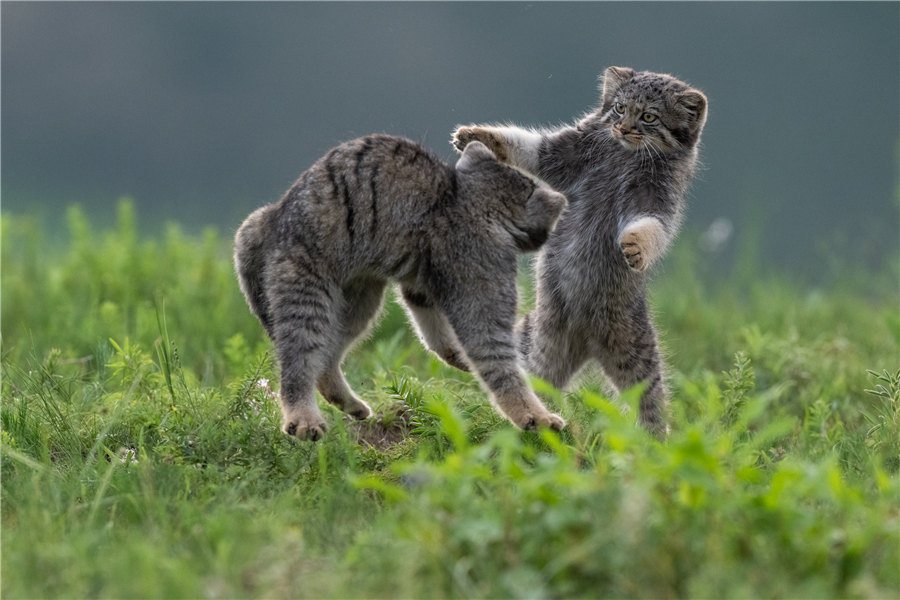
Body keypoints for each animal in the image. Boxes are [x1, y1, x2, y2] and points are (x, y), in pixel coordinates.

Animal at [236, 135, 568, 440]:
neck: (464, 197)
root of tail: (271, 216)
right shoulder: (479, 265)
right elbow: (491, 348)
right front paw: (530, 412)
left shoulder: (420, 280)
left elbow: (430, 323)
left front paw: (452, 351)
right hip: (305, 283)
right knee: (299, 355)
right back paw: (302, 413)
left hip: (358, 293)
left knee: (329, 350)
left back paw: (339, 391)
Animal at [454, 67, 708, 436]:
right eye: (619, 108)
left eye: (649, 117)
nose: (623, 128)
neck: (624, 154)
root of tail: (585, 343)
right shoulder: (564, 153)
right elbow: (525, 146)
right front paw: (476, 135)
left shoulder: (657, 201)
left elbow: (650, 229)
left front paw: (634, 248)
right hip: (541, 345)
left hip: (637, 356)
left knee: (651, 405)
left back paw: (655, 442)